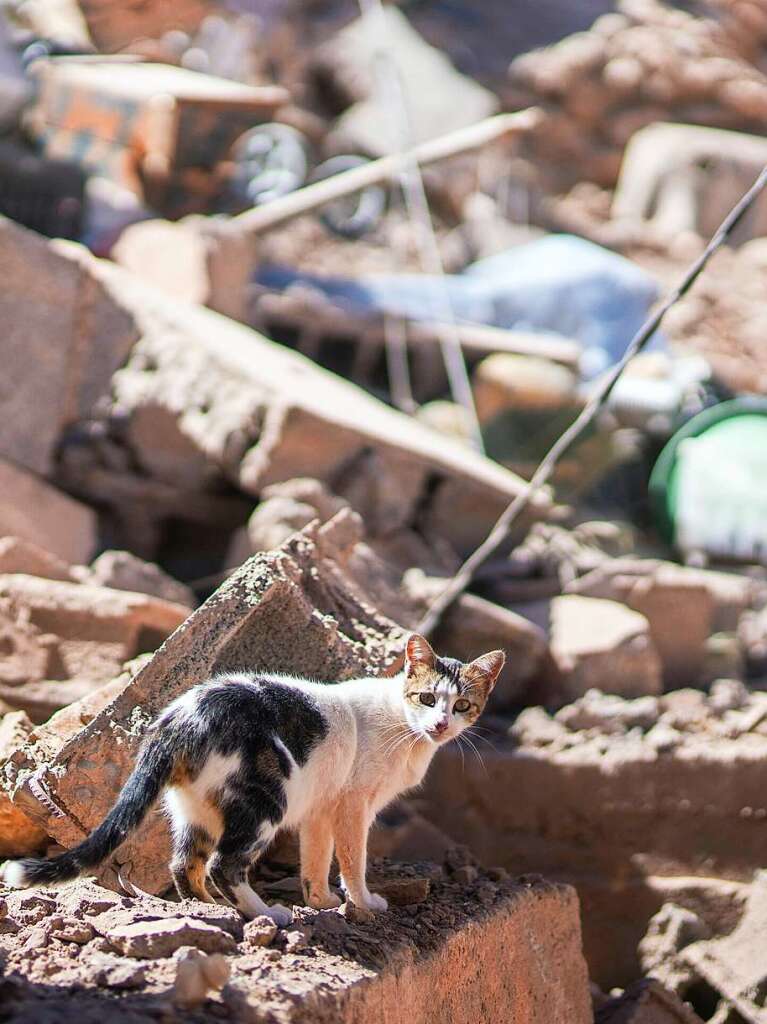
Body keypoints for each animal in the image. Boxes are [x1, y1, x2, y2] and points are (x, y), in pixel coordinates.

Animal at [1, 626, 501, 925]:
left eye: (462, 705)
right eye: (426, 698)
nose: (441, 725)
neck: (406, 730)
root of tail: (180, 717)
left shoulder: (321, 806)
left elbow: (315, 859)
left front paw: (320, 902)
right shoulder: (354, 806)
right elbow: (352, 860)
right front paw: (362, 903)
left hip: (198, 810)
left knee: (185, 865)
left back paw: (211, 909)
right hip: (266, 800)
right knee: (224, 864)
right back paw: (267, 914)